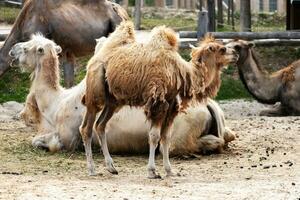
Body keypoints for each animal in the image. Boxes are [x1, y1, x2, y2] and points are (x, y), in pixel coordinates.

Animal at [80, 21, 239, 178]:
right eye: (222, 49)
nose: (236, 54)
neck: (182, 73)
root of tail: (93, 60)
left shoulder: (171, 106)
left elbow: (166, 137)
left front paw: (169, 170)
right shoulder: (157, 103)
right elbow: (154, 136)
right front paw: (152, 171)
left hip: (113, 101)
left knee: (100, 125)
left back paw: (111, 167)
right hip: (95, 92)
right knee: (86, 128)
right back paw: (92, 169)